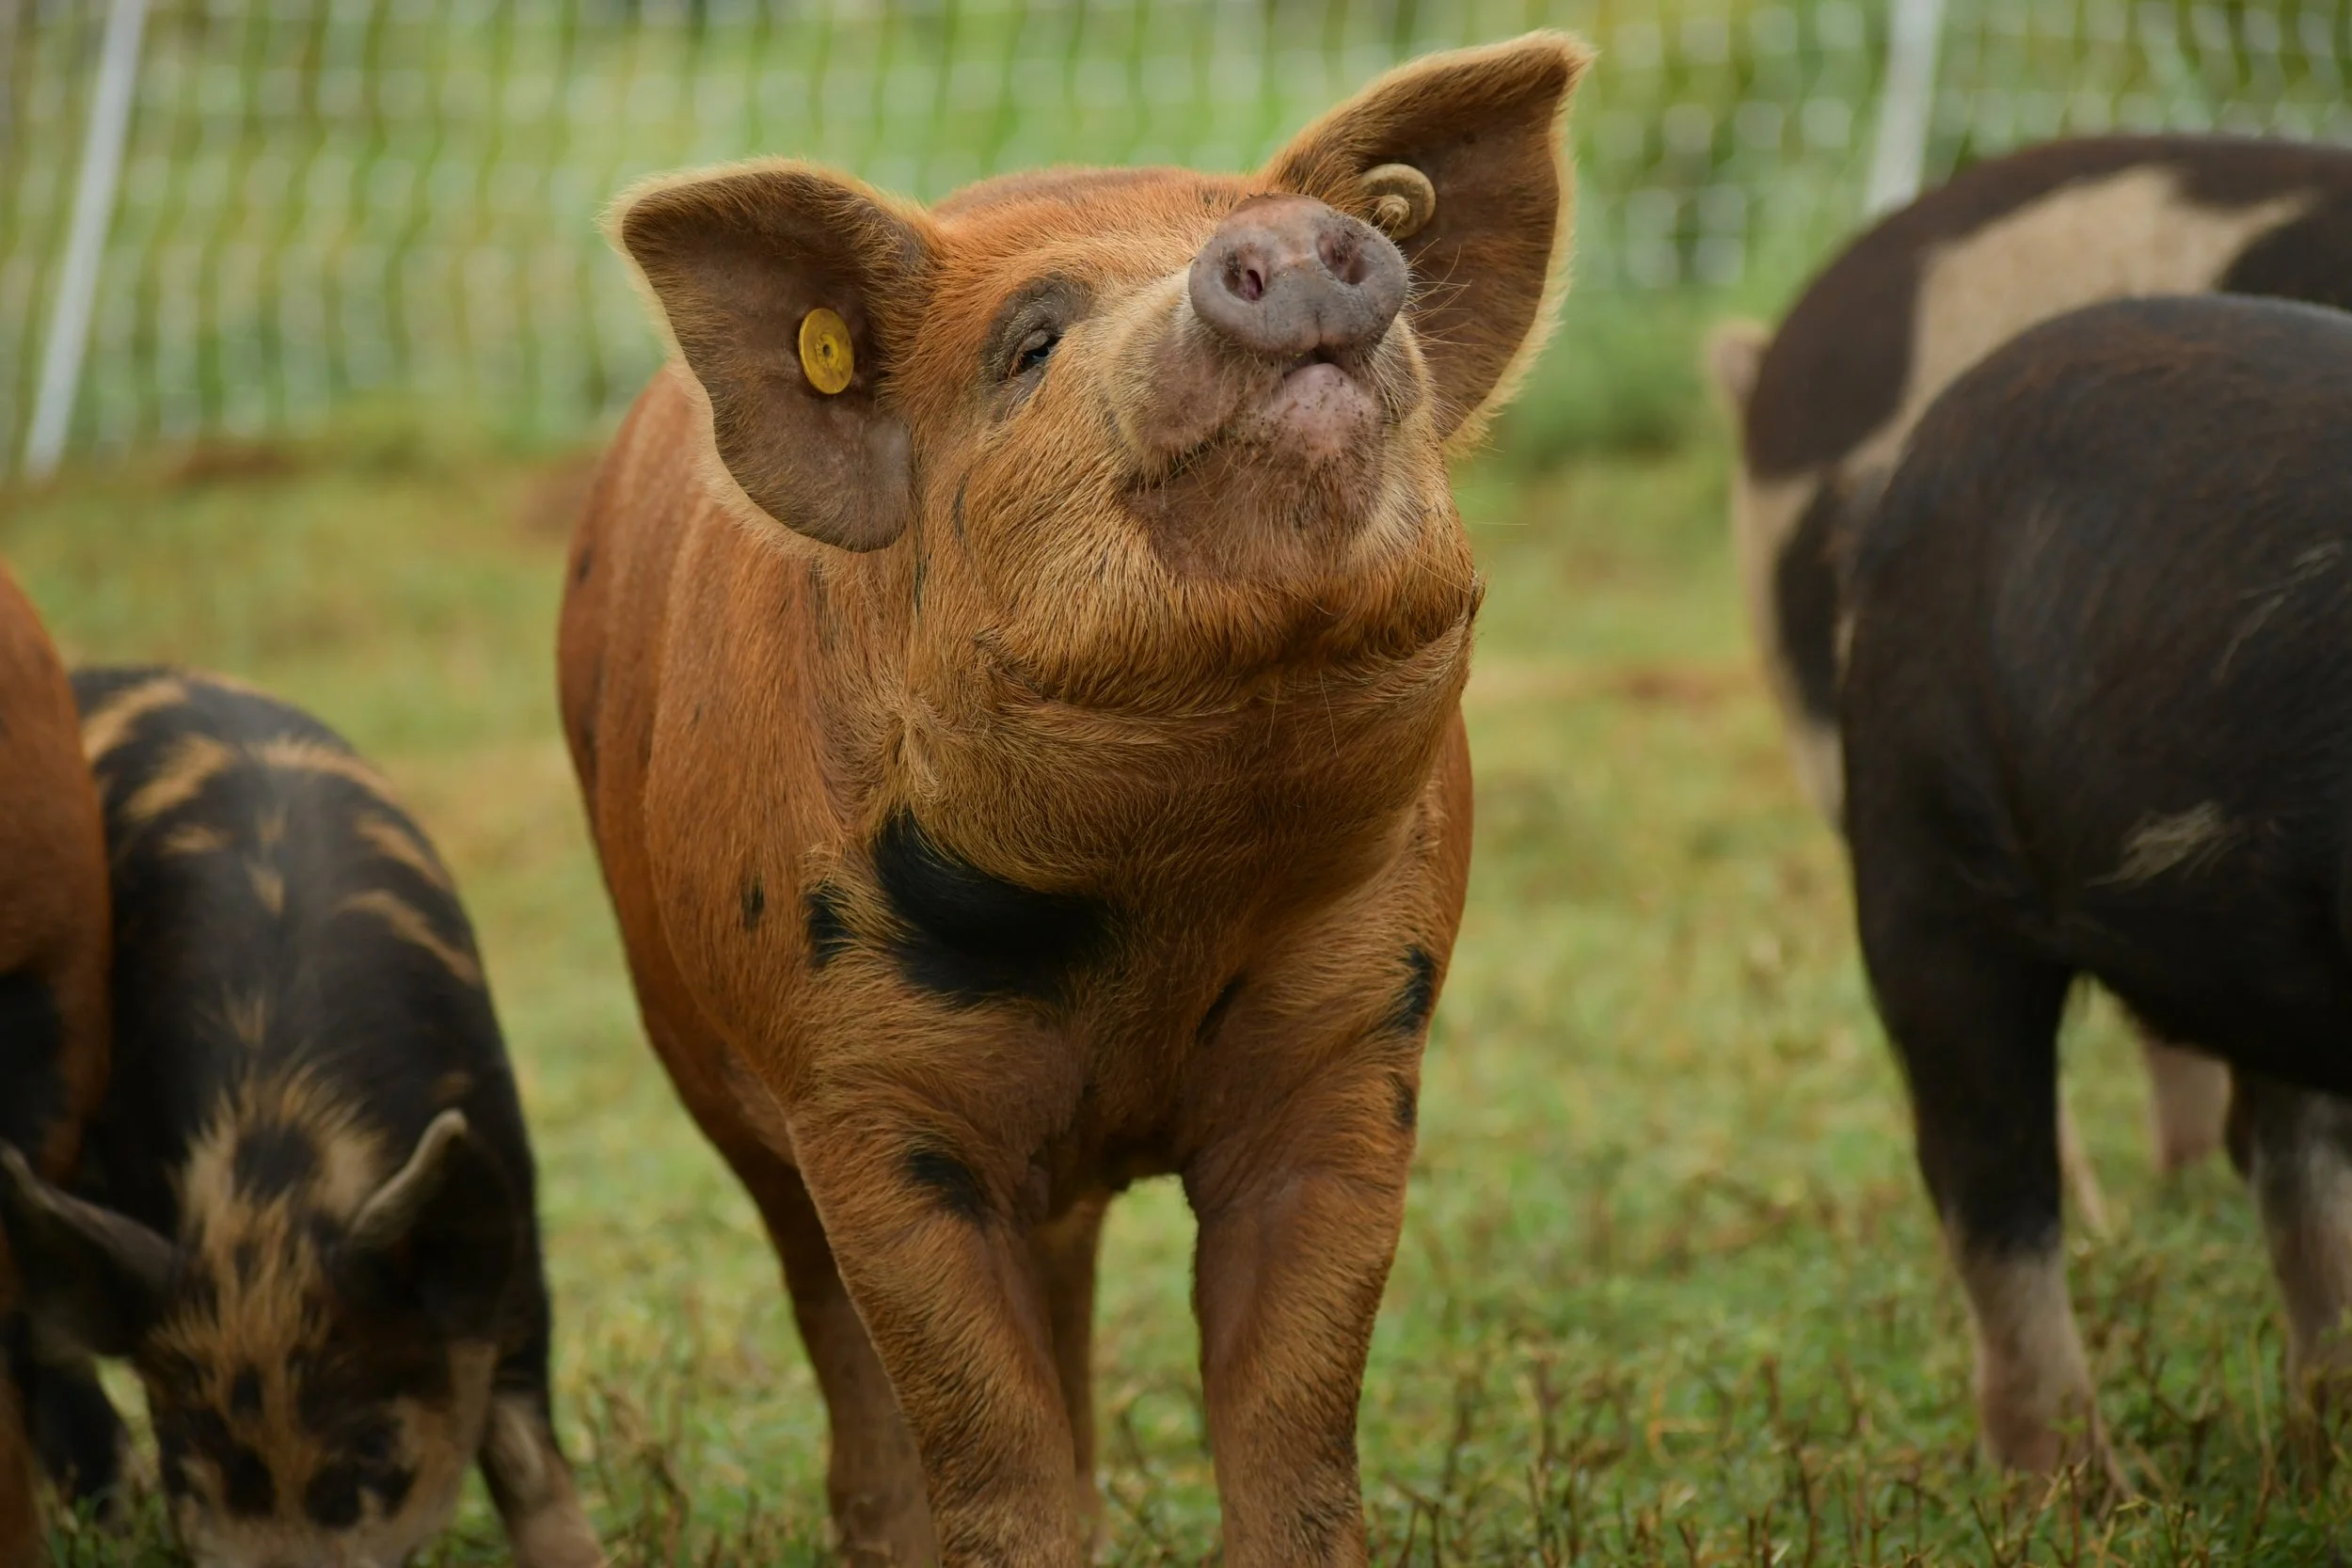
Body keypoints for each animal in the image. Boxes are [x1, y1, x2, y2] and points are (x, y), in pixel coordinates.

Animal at [557, 32, 1589, 1567]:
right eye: (1030, 344)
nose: (1292, 239)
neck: (1160, 891)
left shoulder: (1357, 1034)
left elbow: (1296, 1414)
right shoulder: (862, 1096)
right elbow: (983, 1439)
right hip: (699, 1052)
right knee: (830, 1320)